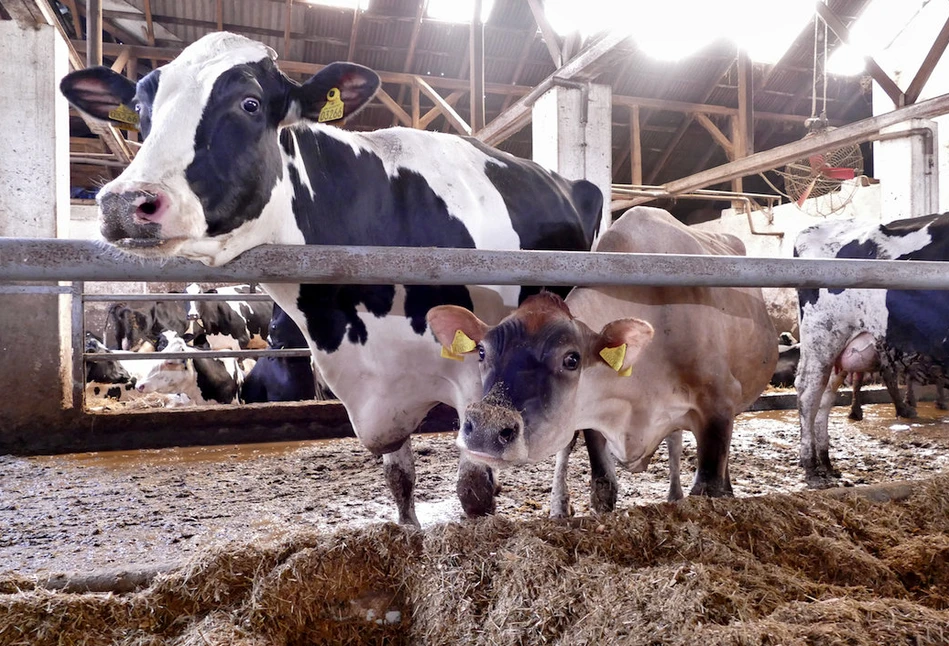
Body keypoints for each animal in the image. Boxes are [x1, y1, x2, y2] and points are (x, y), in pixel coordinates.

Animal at [61, 31, 600, 528]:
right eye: (140, 110)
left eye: (250, 103)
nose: (124, 202)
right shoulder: (370, 388)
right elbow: (400, 481)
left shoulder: (477, 374)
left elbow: (474, 494)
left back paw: (563, 506)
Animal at [430, 209, 776, 516]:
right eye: (482, 352)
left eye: (572, 359)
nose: (486, 428)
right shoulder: (593, 414)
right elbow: (603, 487)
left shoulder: (719, 404)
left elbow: (708, 489)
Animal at [792, 215, 948, 488]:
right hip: (823, 336)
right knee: (808, 393)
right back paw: (811, 466)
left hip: (842, 352)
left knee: (825, 395)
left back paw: (826, 462)